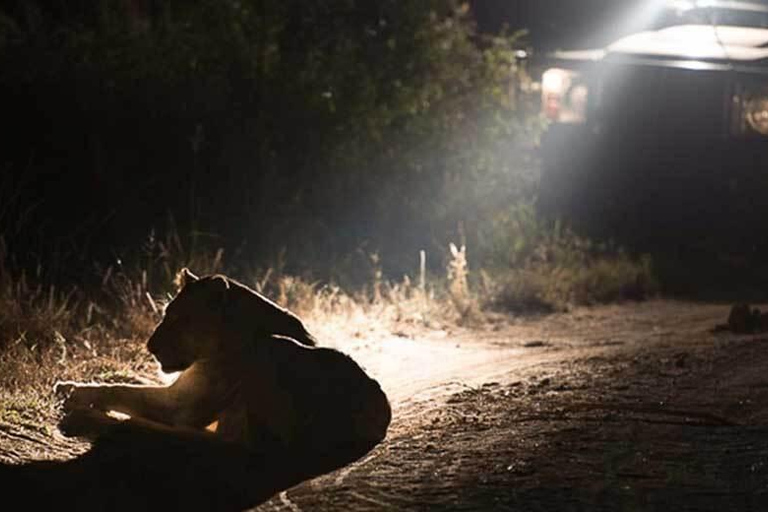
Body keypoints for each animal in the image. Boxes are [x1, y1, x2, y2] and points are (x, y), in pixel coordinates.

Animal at [51, 270, 390, 510]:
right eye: (165, 314)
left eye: (182, 319)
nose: (149, 346)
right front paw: (67, 388)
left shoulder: (181, 404)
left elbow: (120, 388)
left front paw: (74, 398)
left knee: (207, 443)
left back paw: (87, 422)